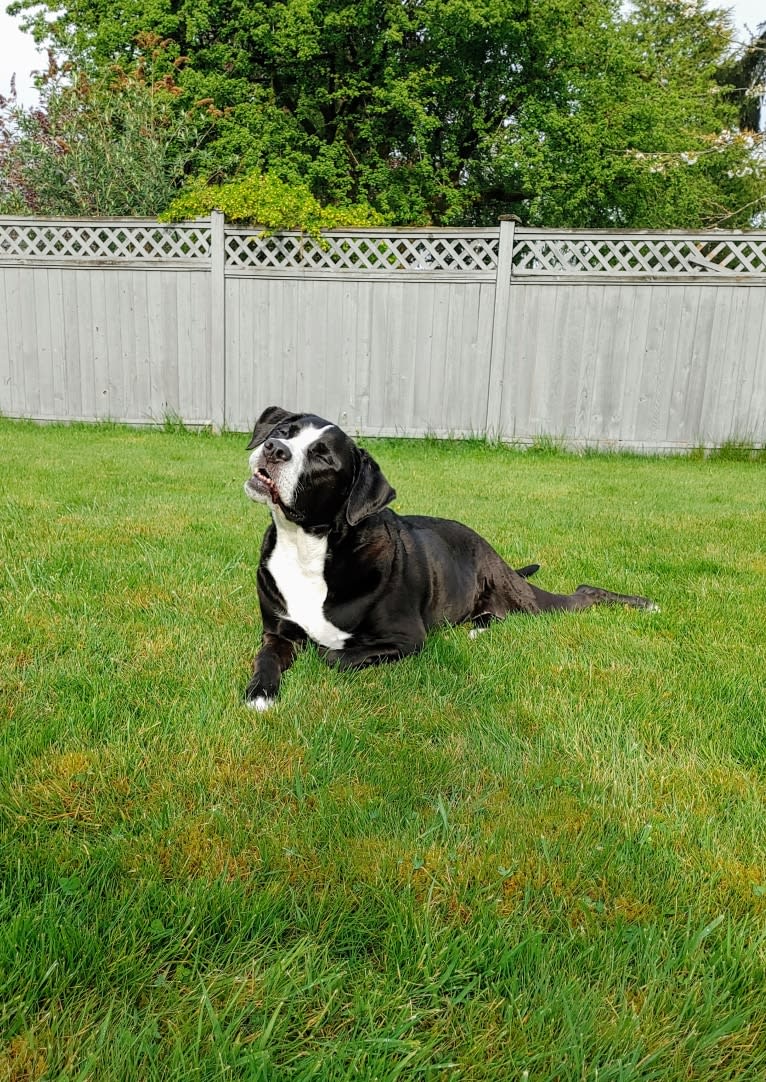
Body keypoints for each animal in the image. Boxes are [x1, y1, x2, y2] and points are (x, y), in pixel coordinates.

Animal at [242, 406, 653, 709]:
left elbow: (332, 655)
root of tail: (488, 546)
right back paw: (479, 626)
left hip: (529, 599)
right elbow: (266, 657)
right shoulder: (277, 632)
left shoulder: (407, 638)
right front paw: (260, 693)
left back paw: (644, 603)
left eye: (323, 457)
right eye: (285, 429)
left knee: (583, 593)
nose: (274, 448)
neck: (308, 547)